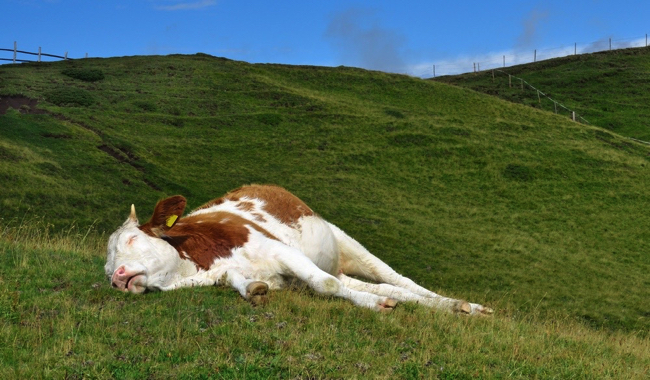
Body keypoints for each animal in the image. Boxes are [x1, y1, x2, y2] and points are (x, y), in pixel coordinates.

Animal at [105, 185, 492, 314]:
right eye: (106, 268)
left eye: (131, 240)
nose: (117, 278)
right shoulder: (230, 273)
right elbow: (243, 284)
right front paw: (254, 290)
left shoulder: (282, 252)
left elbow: (327, 286)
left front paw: (376, 306)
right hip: (338, 264)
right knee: (389, 287)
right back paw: (453, 307)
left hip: (346, 243)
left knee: (399, 280)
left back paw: (468, 305)